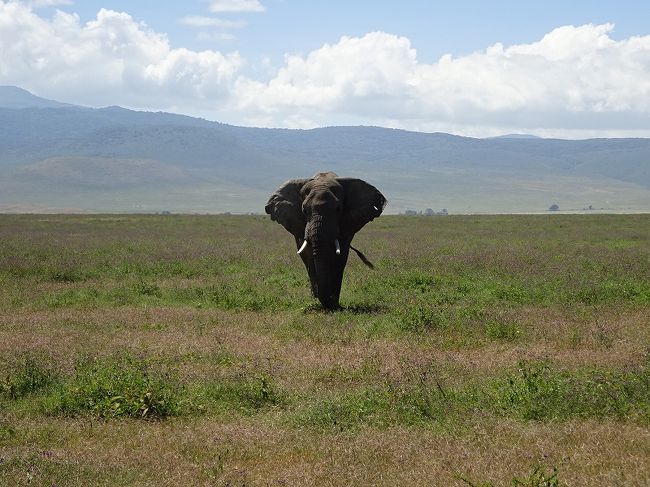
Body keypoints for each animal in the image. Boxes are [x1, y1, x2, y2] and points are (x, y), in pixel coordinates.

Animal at [264, 172, 384, 308]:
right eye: (304, 210)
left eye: (338, 209)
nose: (328, 301)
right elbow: (310, 258)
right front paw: (318, 301)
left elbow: (340, 257)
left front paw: (334, 303)